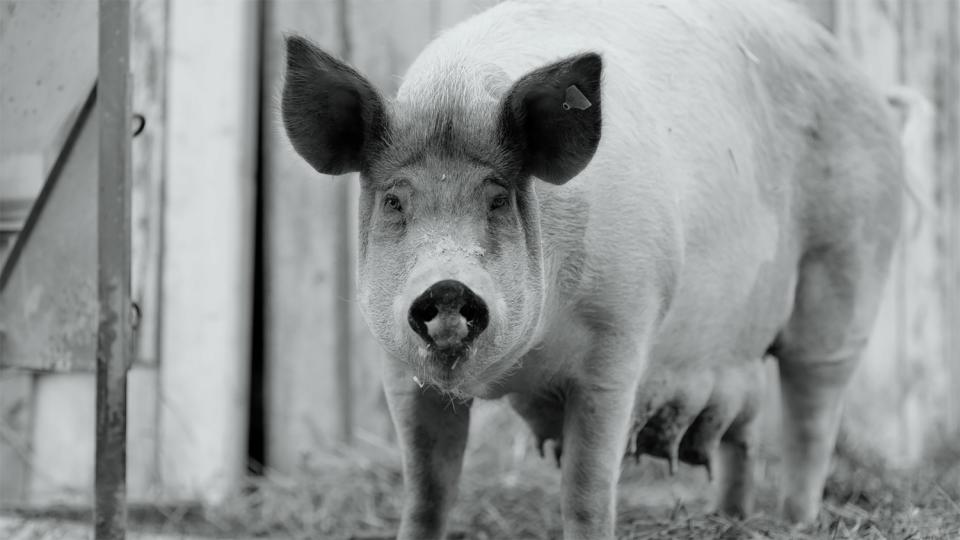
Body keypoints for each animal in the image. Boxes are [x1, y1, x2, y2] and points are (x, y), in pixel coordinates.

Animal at [282, 0, 904, 536]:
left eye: (497, 198)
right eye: (394, 200)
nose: (449, 285)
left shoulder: (619, 342)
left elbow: (586, 491)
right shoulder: (397, 368)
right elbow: (427, 494)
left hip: (846, 277)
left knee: (811, 415)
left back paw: (796, 521)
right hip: (742, 348)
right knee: (744, 433)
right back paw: (731, 520)